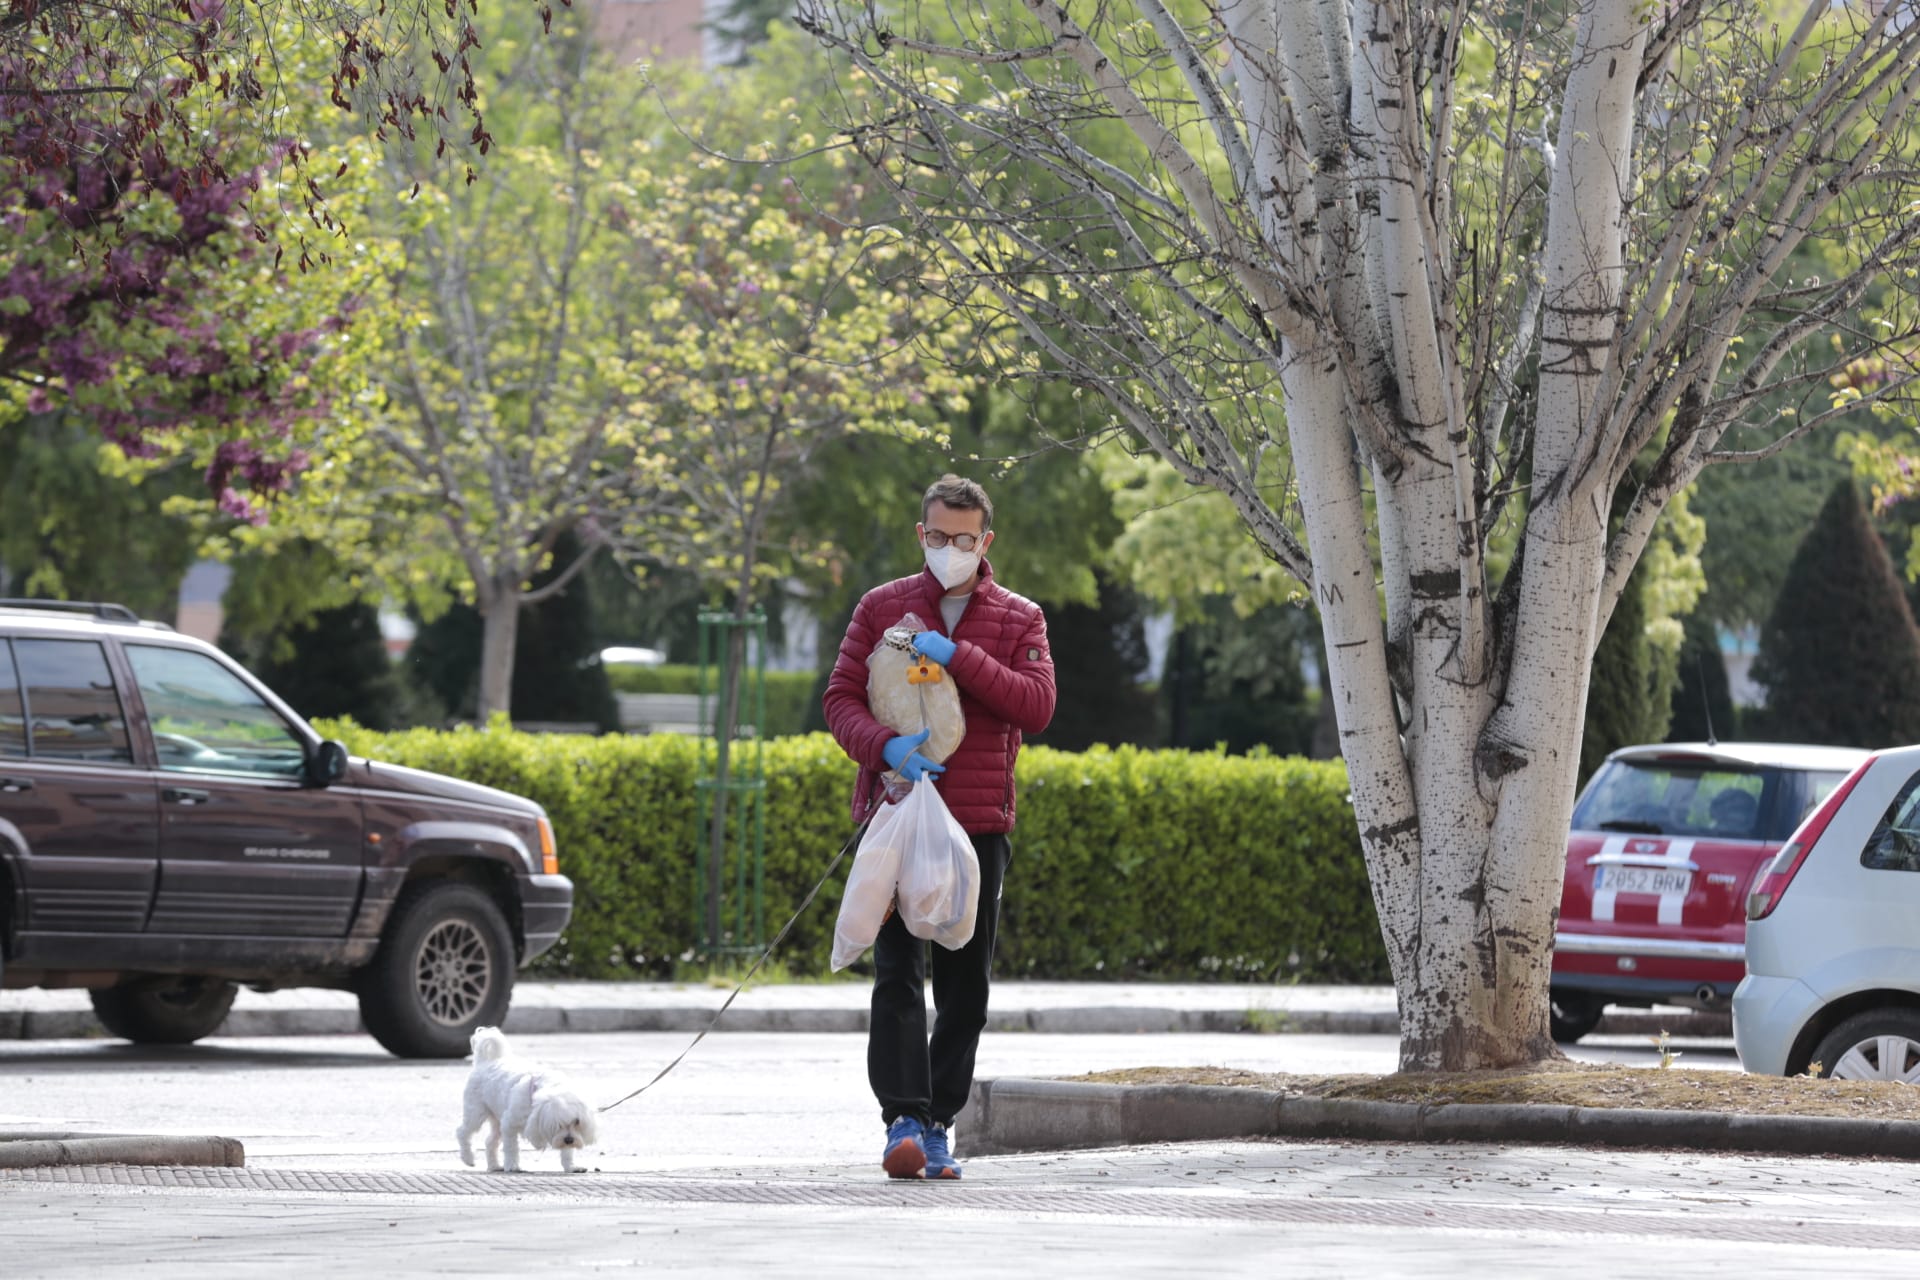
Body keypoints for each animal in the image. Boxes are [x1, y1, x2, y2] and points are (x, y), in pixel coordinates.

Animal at [455, 1028, 595, 1174]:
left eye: (577, 1122)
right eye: (556, 1124)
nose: (569, 1140)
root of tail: (484, 1062)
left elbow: (567, 1152)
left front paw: (571, 1166)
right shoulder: (509, 1125)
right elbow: (511, 1147)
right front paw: (512, 1165)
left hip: (497, 1120)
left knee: (490, 1141)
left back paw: (494, 1166)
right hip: (476, 1113)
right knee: (462, 1132)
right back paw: (468, 1158)